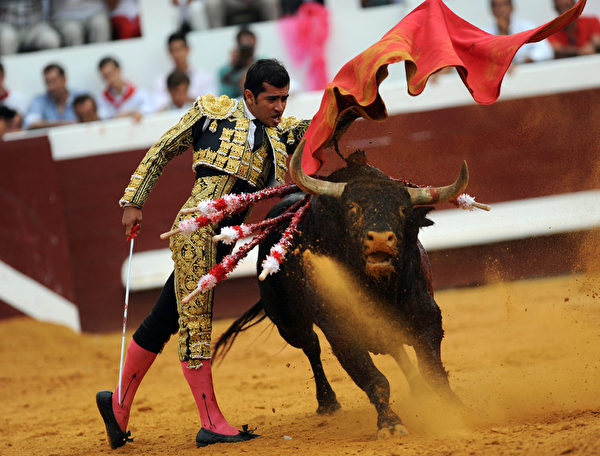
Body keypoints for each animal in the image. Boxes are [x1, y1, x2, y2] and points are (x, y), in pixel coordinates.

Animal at [216, 141, 468, 436]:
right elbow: (374, 378)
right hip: (289, 324)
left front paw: (456, 410)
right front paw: (390, 424)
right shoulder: (341, 331)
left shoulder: (427, 315)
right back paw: (328, 403)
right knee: (311, 346)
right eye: (352, 207)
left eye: (403, 210)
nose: (380, 238)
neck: (378, 286)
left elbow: (433, 371)